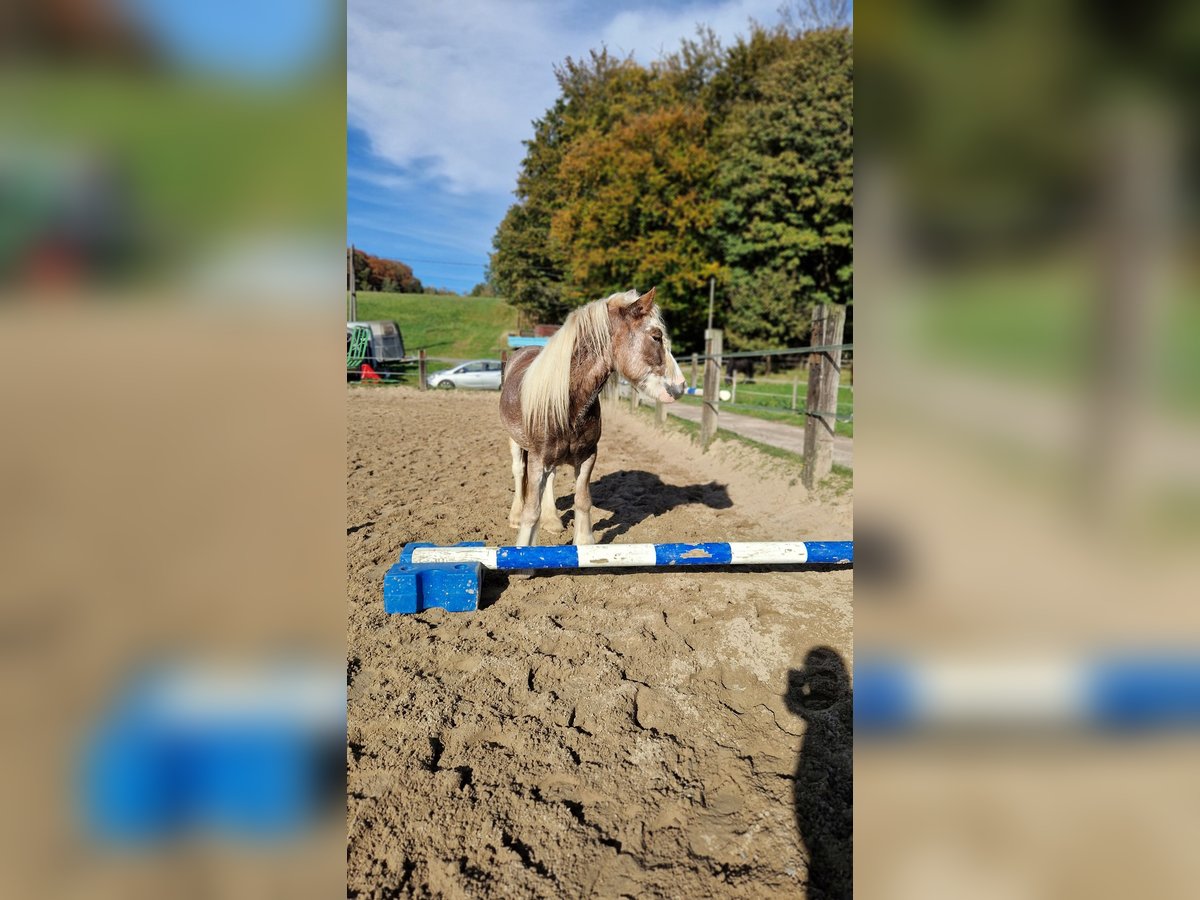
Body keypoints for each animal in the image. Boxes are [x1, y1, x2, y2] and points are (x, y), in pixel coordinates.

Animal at [496, 286, 686, 549]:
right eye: (656, 336)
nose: (681, 386)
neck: (569, 403)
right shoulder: (537, 459)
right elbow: (531, 509)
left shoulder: (588, 455)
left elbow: (582, 499)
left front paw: (584, 541)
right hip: (516, 442)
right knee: (518, 472)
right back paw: (515, 516)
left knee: (551, 478)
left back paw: (552, 520)